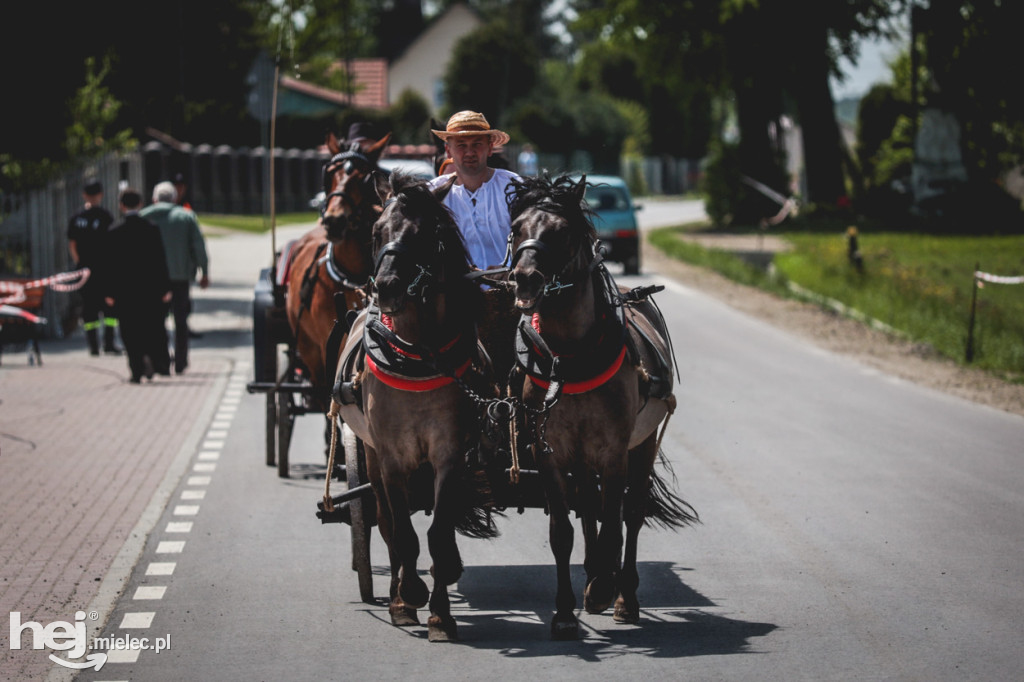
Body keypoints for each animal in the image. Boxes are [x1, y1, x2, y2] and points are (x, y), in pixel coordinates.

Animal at [358, 173, 497, 638]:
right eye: (376, 231)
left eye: (423, 235)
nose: (386, 287)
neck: (417, 357)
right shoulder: (391, 457)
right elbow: (402, 532)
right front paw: (410, 596)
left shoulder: (449, 454)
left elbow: (438, 532)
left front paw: (440, 613)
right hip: (369, 455)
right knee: (385, 524)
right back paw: (398, 595)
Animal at [505, 171, 696, 638]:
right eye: (517, 228)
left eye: (561, 232)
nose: (525, 279)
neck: (570, 356)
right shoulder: (551, 452)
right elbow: (563, 530)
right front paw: (564, 612)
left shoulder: (613, 450)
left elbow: (614, 522)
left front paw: (606, 590)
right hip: (581, 456)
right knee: (589, 506)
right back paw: (595, 574)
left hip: (641, 444)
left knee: (631, 511)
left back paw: (622, 594)